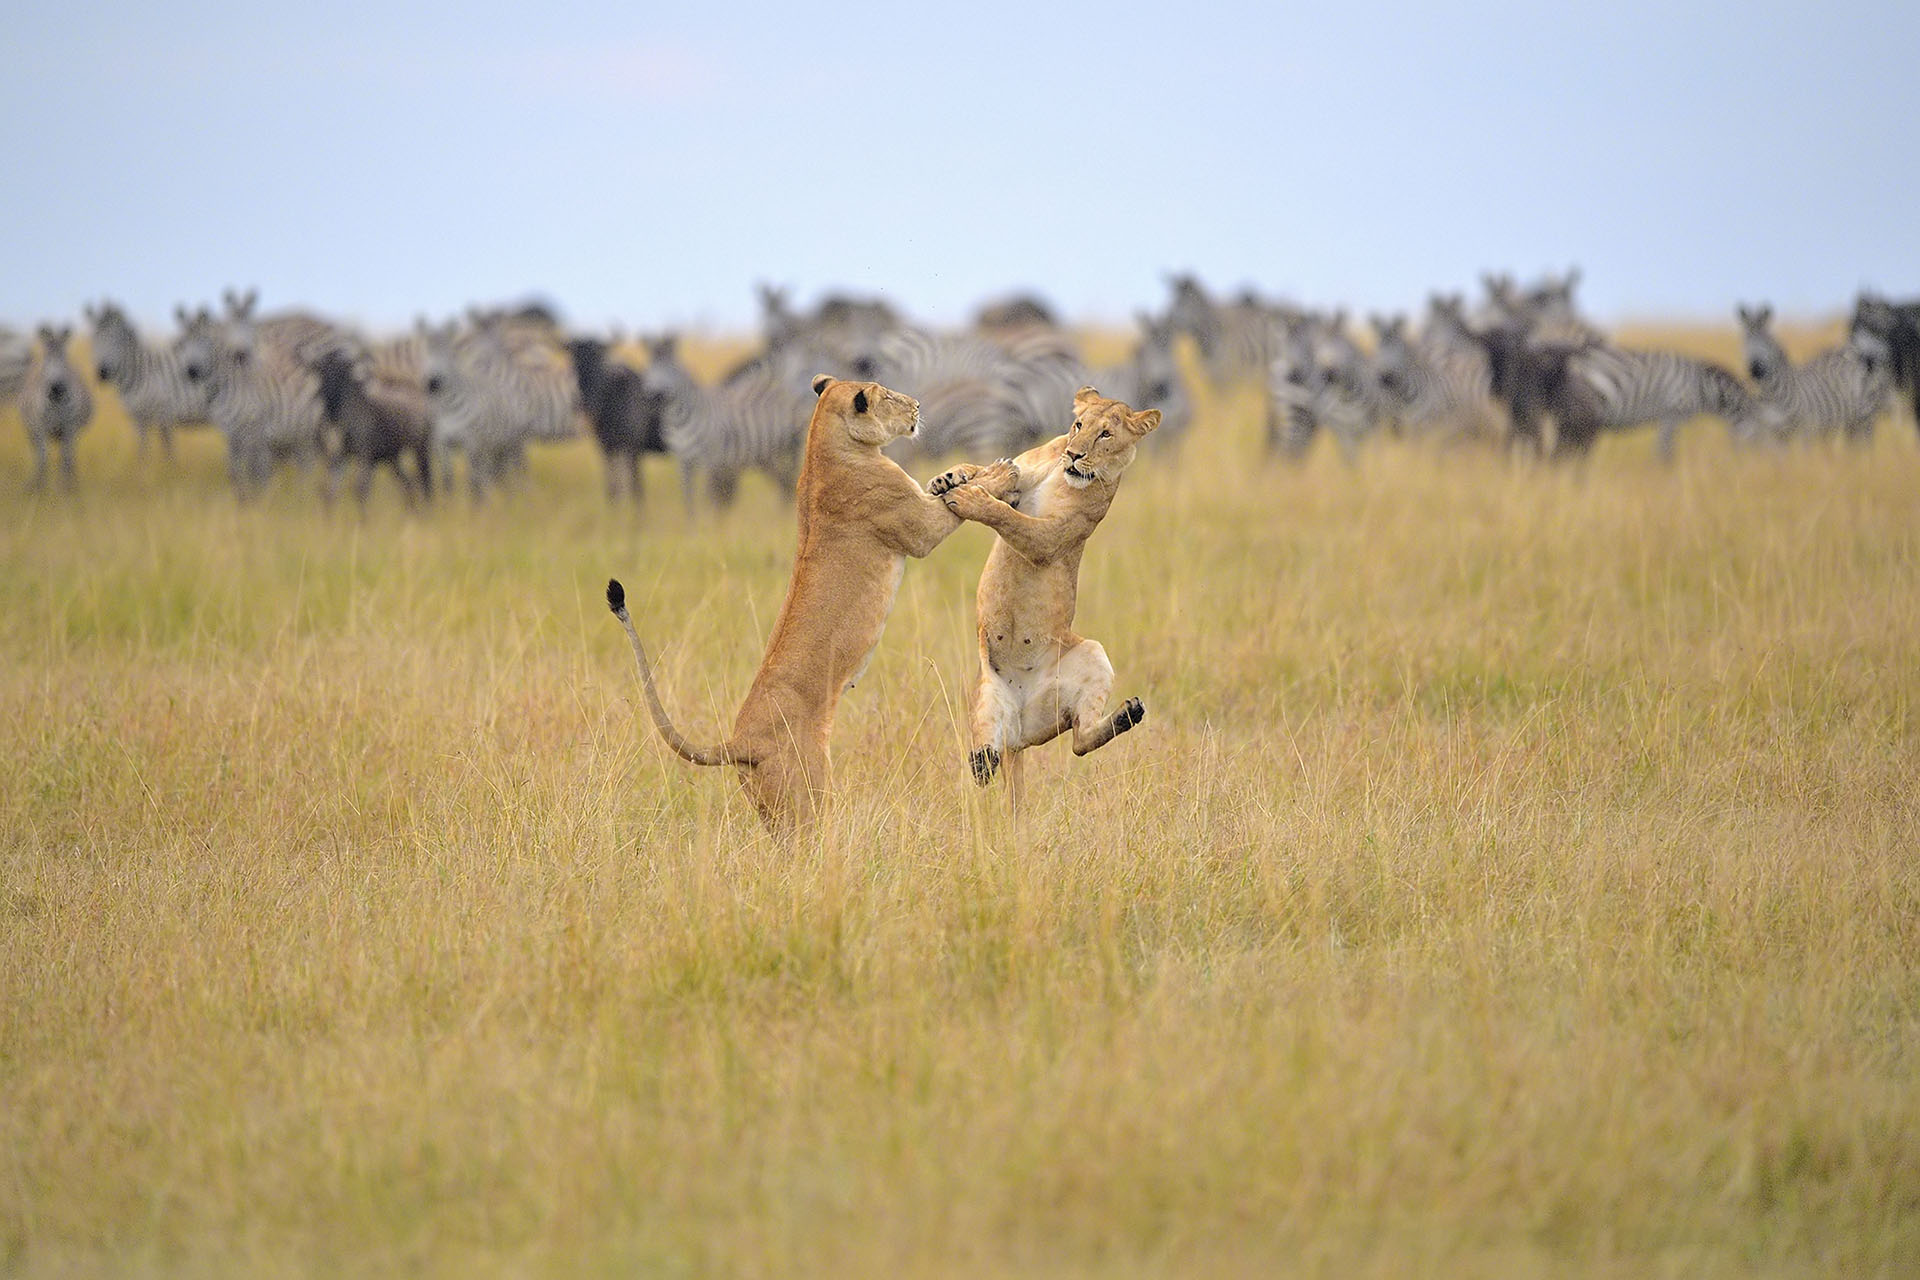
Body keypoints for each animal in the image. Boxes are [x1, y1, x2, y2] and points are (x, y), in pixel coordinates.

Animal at [19, 326, 96, 491]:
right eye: (46, 360)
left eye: (64, 360)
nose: (56, 388)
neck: (56, 403)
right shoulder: (40, 426)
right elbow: (43, 456)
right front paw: (39, 488)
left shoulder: (69, 427)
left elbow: (66, 456)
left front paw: (66, 489)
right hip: (30, 429)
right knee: (37, 453)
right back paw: (34, 482)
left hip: (70, 433)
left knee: (70, 455)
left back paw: (72, 481)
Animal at [85, 299, 211, 460]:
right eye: (94, 339)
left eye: (117, 341)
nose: (103, 373)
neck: (141, 375)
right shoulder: (138, 419)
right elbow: (142, 450)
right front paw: (143, 466)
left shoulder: (165, 415)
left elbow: (167, 449)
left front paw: (169, 466)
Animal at [606, 376, 967, 825]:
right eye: (887, 395)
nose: (917, 404)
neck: (821, 446)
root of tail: (739, 741)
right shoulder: (918, 528)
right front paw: (992, 474)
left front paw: (955, 476)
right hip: (808, 789)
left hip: (769, 806)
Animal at [925, 383, 1152, 802]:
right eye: (1078, 425)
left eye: (1105, 434)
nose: (1075, 454)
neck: (1061, 474)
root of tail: (1019, 733)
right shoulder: (1025, 474)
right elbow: (988, 473)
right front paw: (949, 478)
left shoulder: (1050, 537)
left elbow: (1009, 517)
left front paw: (970, 498)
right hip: (986, 696)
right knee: (993, 752)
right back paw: (984, 758)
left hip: (1092, 654)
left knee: (1079, 741)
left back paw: (1128, 714)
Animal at [1743, 303, 1889, 443]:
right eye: (1745, 343)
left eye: (1765, 343)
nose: (1754, 371)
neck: (1772, 394)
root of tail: (1854, 349)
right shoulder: (1772, 433)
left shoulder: (1805, 431)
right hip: (1852, 422)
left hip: (1866, 416)